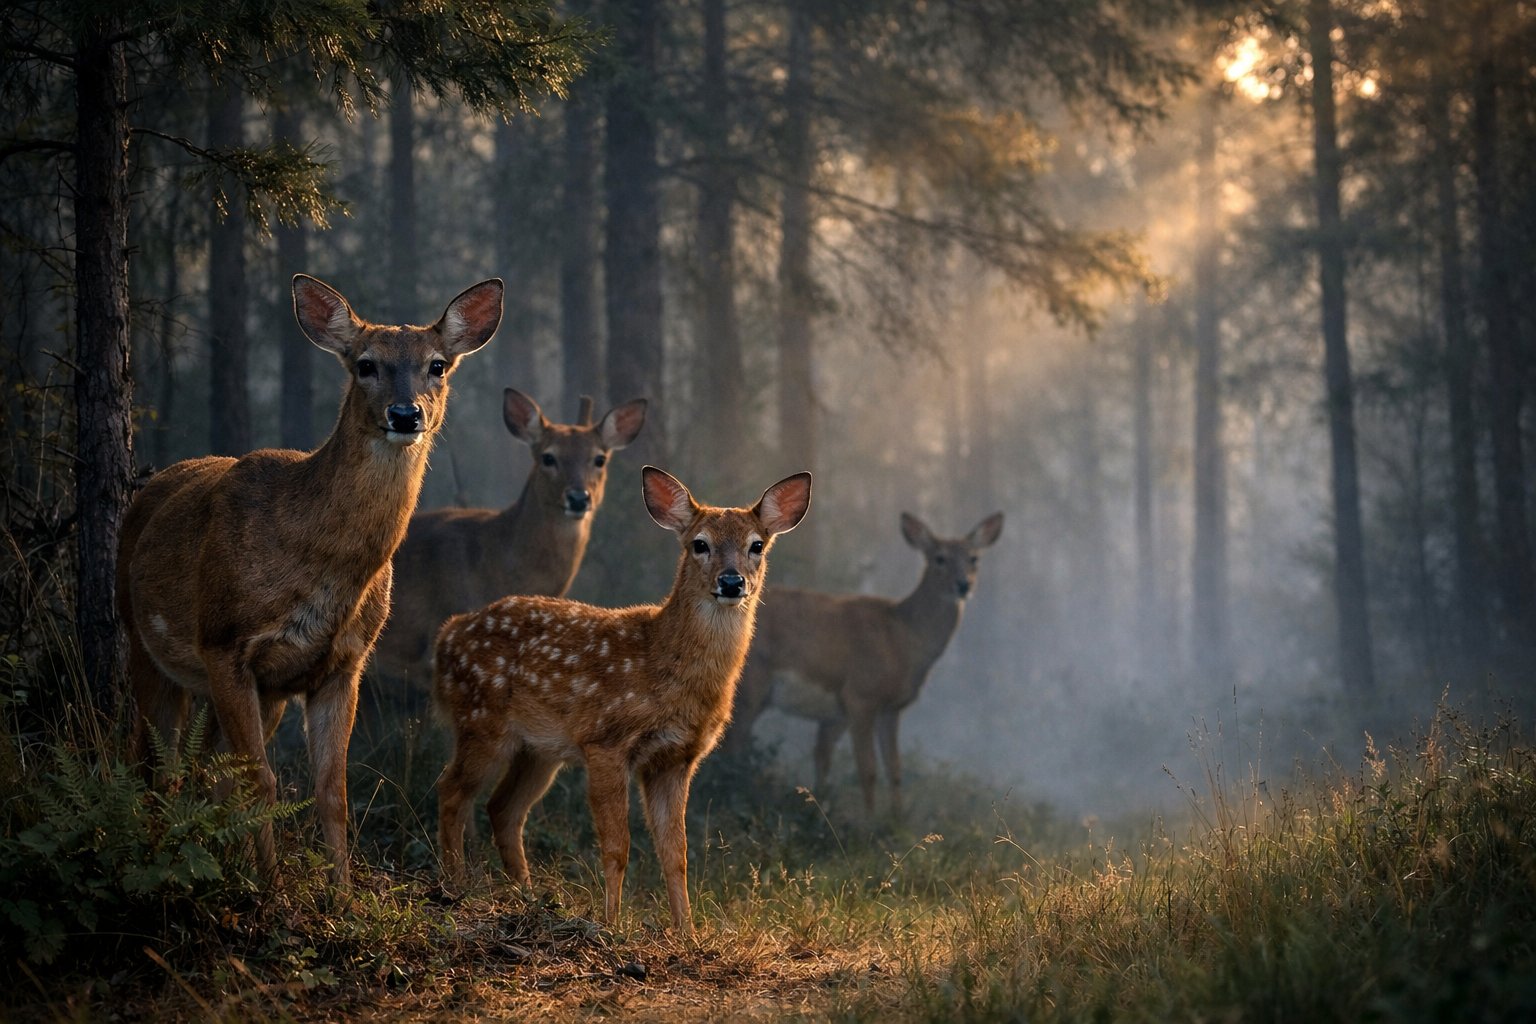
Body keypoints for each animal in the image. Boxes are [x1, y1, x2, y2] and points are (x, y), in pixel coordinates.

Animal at [115, 274, 502, 887]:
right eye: (365, 364)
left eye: (437, 365)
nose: (406, 414)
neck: (321, 568)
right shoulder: (224, 641)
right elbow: (261, 781)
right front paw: (272, 892)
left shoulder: (344, 662)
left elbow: (331, 791)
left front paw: (341, 894)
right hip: (142, 639)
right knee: (157, 760)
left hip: (264, 693)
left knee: (203, 767)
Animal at [434, 467, 812, 937]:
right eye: (699, 544)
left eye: (756, 545)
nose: (730, 581)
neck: (663, 665)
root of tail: (446, 636)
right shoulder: (606, 741)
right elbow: (618, 846)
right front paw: (611, 924)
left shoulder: (676, 759)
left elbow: (676, 853)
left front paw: (687, 933)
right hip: (480, 720)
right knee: (451, 790)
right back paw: (456, 884)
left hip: (538, 750)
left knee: (502, 807)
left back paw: (527, 897)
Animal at [730, 511, 1003, 818]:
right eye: (939, 558)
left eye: (974, 558)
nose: (963, 584)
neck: (902, 636)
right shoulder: (861, 695)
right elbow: (868, 768)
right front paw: (869, 821)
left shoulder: (890, 708)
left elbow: (894, 768)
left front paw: (896, 819)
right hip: (753, 682)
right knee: (734, 743)